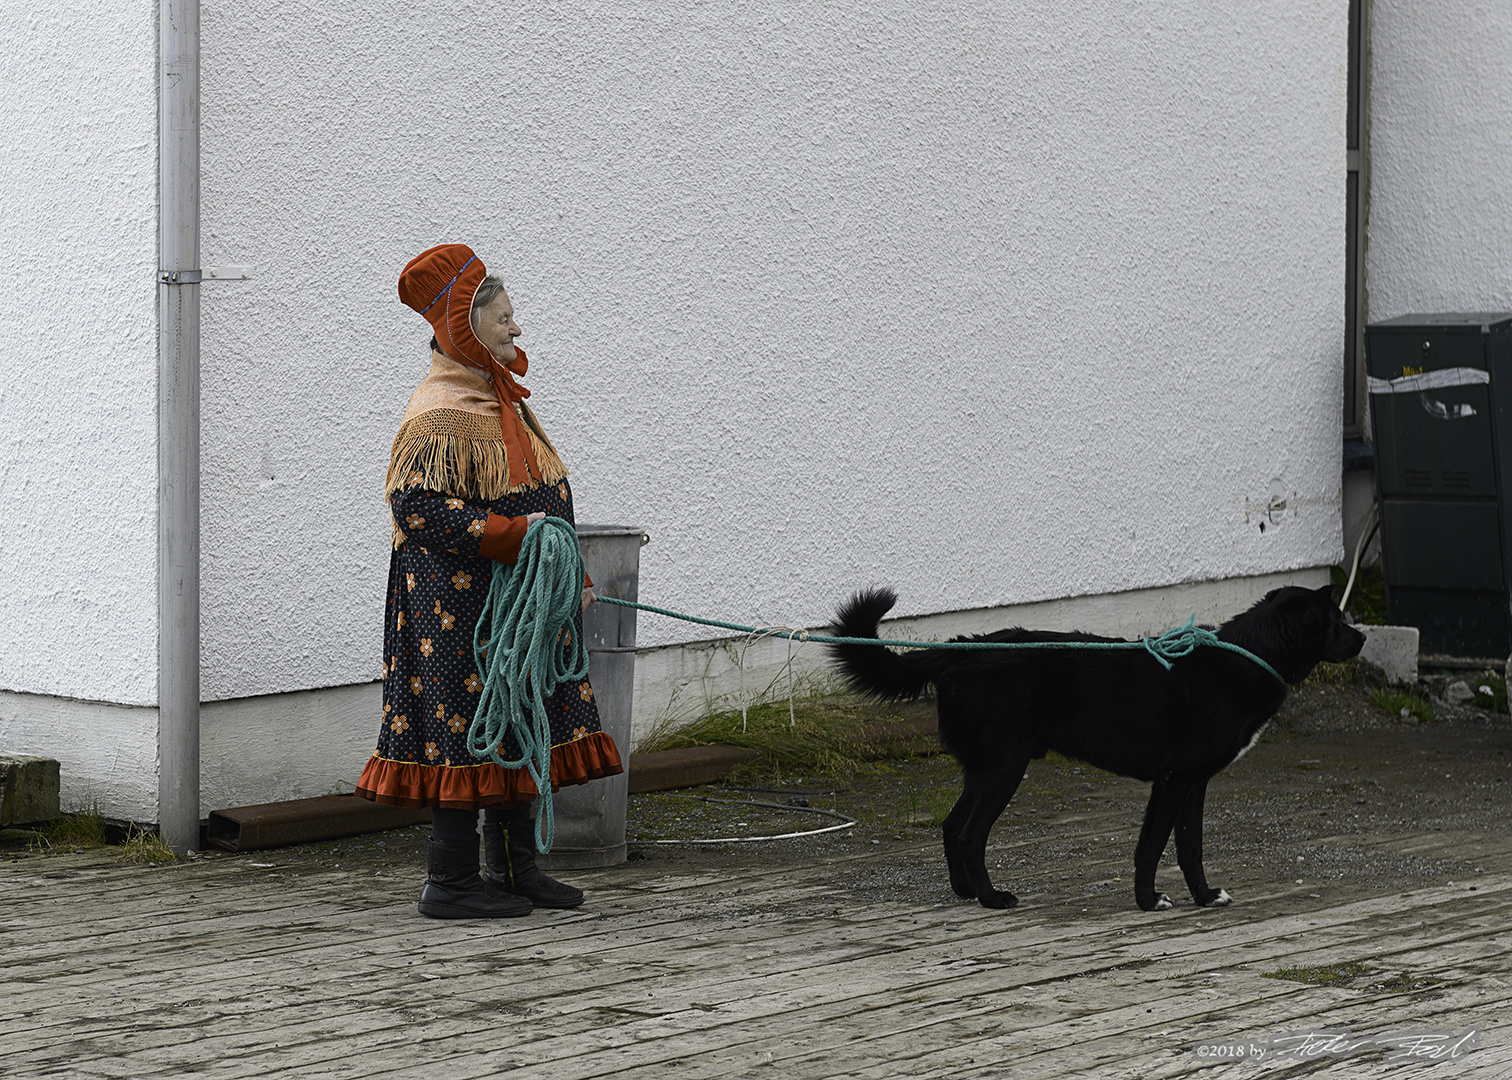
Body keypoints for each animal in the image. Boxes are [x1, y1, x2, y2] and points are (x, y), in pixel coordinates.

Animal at [834, 589, 1366, 907]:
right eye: (1335, 621)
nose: (1362, 638)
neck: (1245, 657)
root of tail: (959, 652)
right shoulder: (1173, 781)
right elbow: (1151, 847)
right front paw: (1149, 901)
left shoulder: (1194, 784)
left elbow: (1189, 847)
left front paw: (1203, 896)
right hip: (1005, 767)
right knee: (969, 835)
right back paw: (991, 898)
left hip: (986, 768)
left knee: (950, 827)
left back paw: (966, 893)